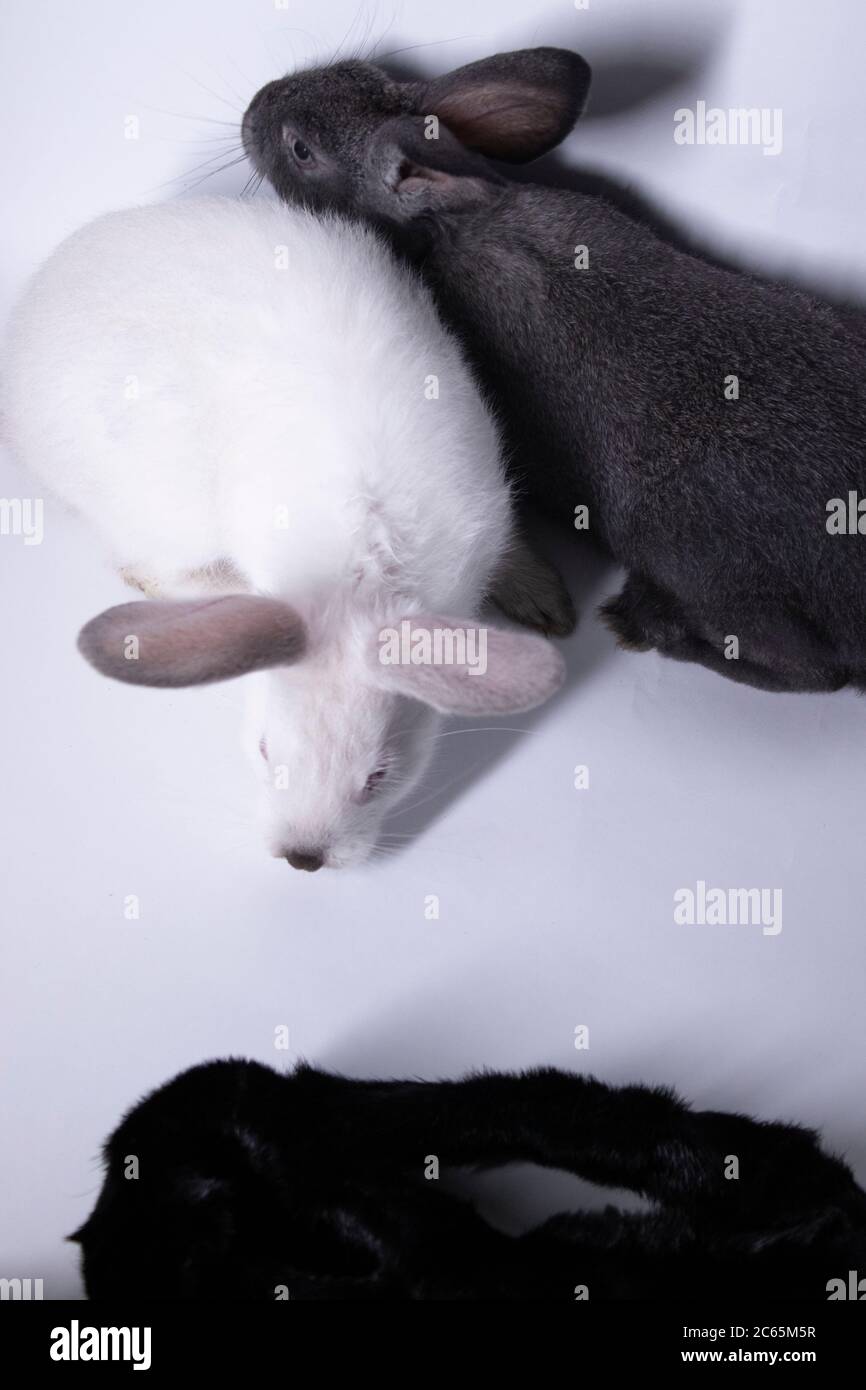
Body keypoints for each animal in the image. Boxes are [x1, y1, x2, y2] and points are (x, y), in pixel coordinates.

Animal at [3, 196, 575, 869]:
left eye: (378, 776)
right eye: (264, 751)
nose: (304, 857)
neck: (359, 575)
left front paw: (545, 600)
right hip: (163, 513)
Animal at [241, 49, 866, 694]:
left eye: (301, 149)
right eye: (354, 69)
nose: (252, 110)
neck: (447, 222)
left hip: (691, 560)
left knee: (816, 671)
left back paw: (644, 626)